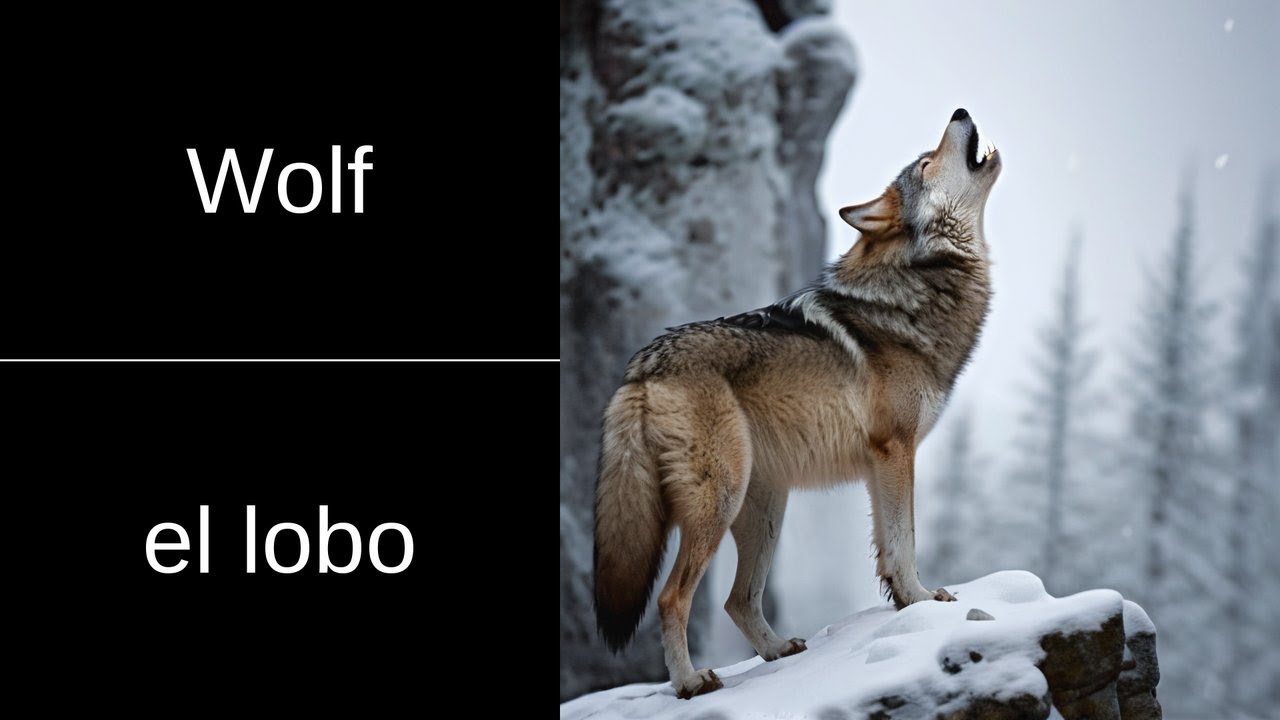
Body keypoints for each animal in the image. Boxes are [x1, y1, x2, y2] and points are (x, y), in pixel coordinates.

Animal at [593, 109, 1001, 699]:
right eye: (926, 163)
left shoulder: (879, 464)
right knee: (674, 597)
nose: (960, 112)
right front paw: (925, 600)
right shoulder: (896, 451)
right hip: (721, 501)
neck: (918, 288)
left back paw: (778, 650)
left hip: (764, 506)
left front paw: (905, 604)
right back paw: (691, 682)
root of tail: (644, 363)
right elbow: (905, 541)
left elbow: (887, 547)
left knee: (737, 600)